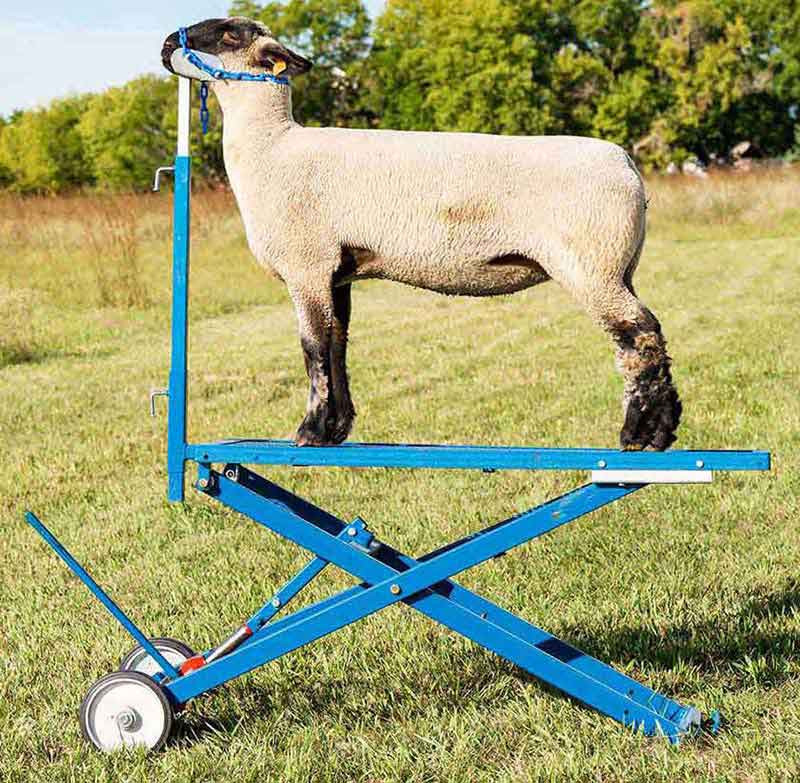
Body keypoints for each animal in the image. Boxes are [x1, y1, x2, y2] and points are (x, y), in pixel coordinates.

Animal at [161, 17, 681, 450]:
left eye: (230, 34)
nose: (167, 42)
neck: (270, 149)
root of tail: (626, 164)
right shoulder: (337, 273)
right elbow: (337, 344)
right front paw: (337, 429)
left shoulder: (307, 264)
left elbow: (313, 348)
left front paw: (310, 431)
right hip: (619, 266)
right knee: (645, 333)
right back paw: (661, 427)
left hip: (591, 264)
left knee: (639, 335)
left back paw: (641, 436)